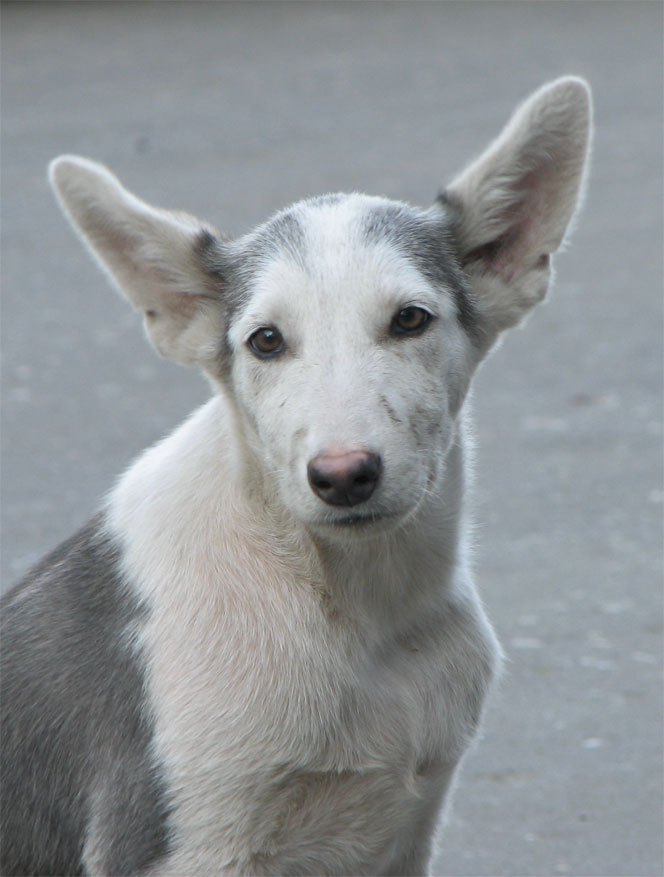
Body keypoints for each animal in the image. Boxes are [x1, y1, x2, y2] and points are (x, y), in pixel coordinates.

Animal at [0, 78, 592, 872]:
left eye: (410, 319)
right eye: (266, 341)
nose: (343, 476)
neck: (354, 610)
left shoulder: (408, 830)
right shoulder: (179, 842)